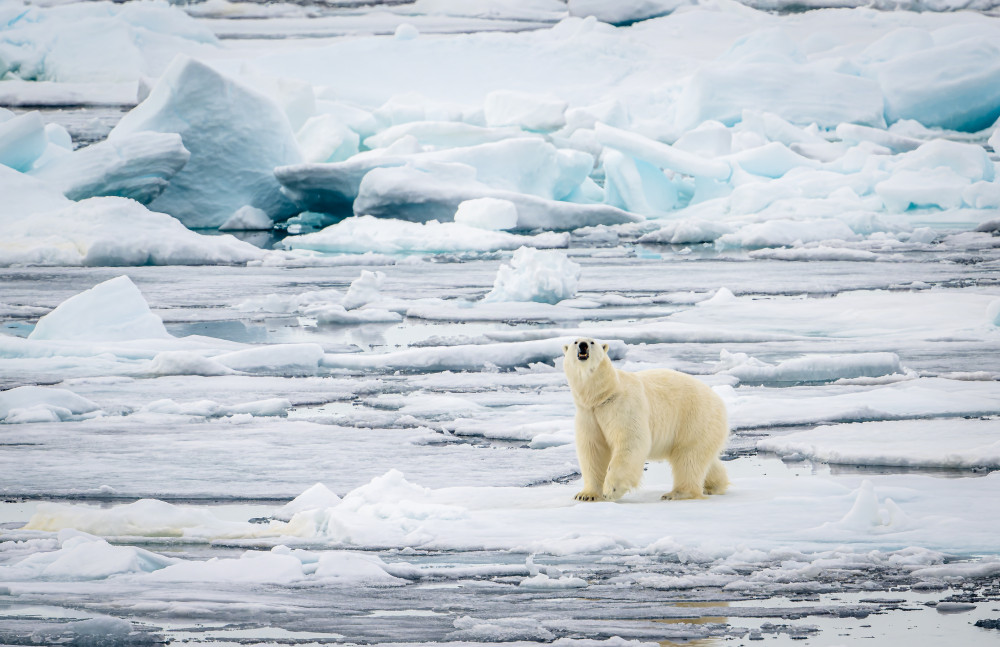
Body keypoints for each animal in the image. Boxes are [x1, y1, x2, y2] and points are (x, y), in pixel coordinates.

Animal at [564, 340, 728, 502]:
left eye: (592, 342)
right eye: (575, 341)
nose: (583, 345)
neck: (602, 395)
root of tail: (719, 400)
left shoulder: (623, 406)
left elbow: (630, 441)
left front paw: (611, 490)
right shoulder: (588, 414)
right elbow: (593, 449)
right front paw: (586, 495)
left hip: (695, 417)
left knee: (688, 457)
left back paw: (676, 493)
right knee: (703, 457)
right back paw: (714, 486)